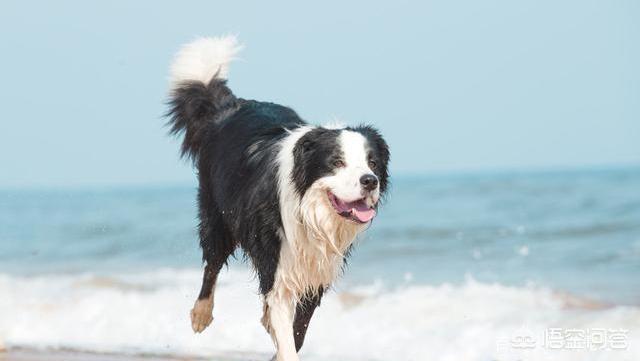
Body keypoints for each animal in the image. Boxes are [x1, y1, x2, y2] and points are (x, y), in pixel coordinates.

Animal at [165, 35, 390, 358]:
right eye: (337, 162)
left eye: (372, 163)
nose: (370, 181)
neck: (310, 210)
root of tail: (231, 107)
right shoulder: (279, 265)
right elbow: (286, 332)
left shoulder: (316, 271)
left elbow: (297, 333)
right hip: (216, 214)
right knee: (212, 263)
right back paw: (201, 313)